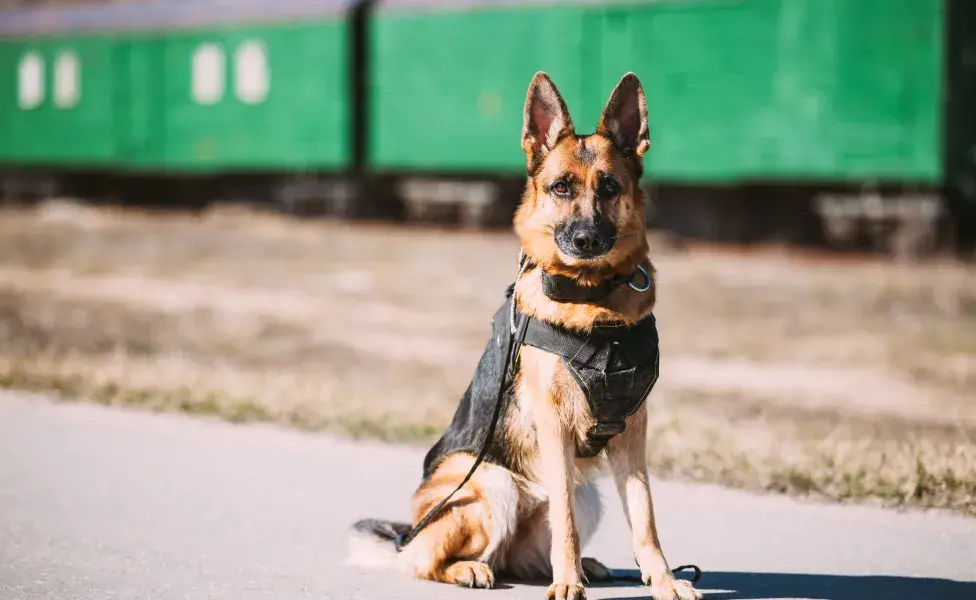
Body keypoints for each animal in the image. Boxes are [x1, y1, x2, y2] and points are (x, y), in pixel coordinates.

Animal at [346, 74, 696, 600]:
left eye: (609, 187)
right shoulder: (554, 425)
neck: (593, 300)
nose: (587, 240)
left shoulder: (633, 432)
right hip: (493, 484)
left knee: (522, 558)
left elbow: (645, 517)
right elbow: (565, 524)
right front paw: (567, 584)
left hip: (585, 493)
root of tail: (407, 532)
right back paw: (471, 569)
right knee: (426, 559)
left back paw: (578, 566)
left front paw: (664, 580)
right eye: (561, 187)